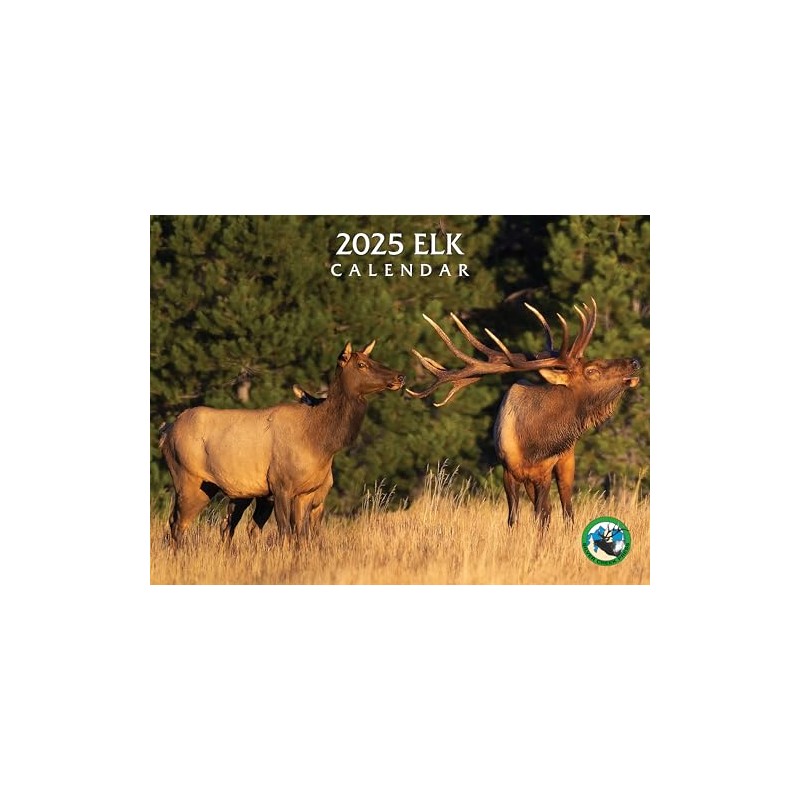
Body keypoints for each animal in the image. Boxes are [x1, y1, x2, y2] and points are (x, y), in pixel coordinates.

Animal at [159, 341, 405, 545]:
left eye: (374, 360)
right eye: (362, 364)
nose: (400, 376)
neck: (321, 442)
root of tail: (166, 431)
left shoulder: (306, 493)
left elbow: (301, 535)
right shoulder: (280, 485)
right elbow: (285, 532)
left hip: (217, 488)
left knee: (214, 525)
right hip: (188, 479)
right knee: (178, 525)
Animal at [407, 298, 640, 527]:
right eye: (592, 370)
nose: (634, 362)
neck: (532, 444)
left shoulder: (545, 470)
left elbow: (541, 514)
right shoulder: (508, 470)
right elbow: (515, 517)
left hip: (567, 459)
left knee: (566, 508)